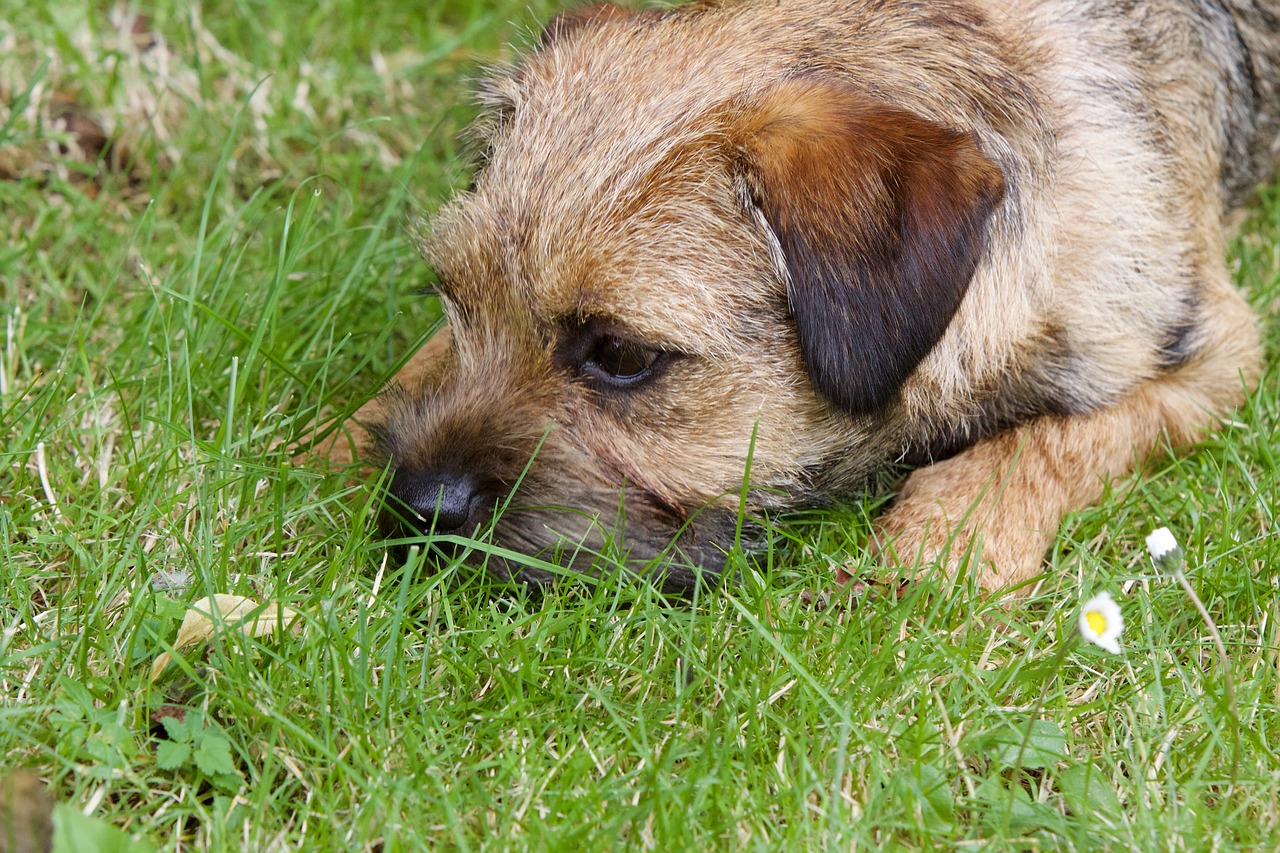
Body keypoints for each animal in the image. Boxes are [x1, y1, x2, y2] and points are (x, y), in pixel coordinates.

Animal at [325, 0, 1274, 591]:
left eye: (622, 355)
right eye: (454, 298)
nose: (420, 507)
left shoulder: (1210, 345)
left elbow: (1052, 438)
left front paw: (947, 542)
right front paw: (330, 442)